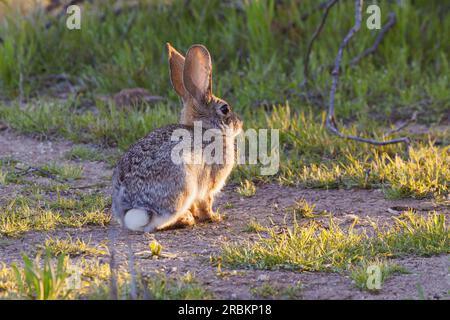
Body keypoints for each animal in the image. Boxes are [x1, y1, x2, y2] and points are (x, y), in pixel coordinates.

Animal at [112, 43, 244, 232]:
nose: (240, 123)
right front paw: (213, 217)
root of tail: (131, 208)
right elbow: (206, 202)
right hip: (184, 187)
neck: (205, 129)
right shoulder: (207, 185)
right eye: (225, 109)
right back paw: (185, 219)